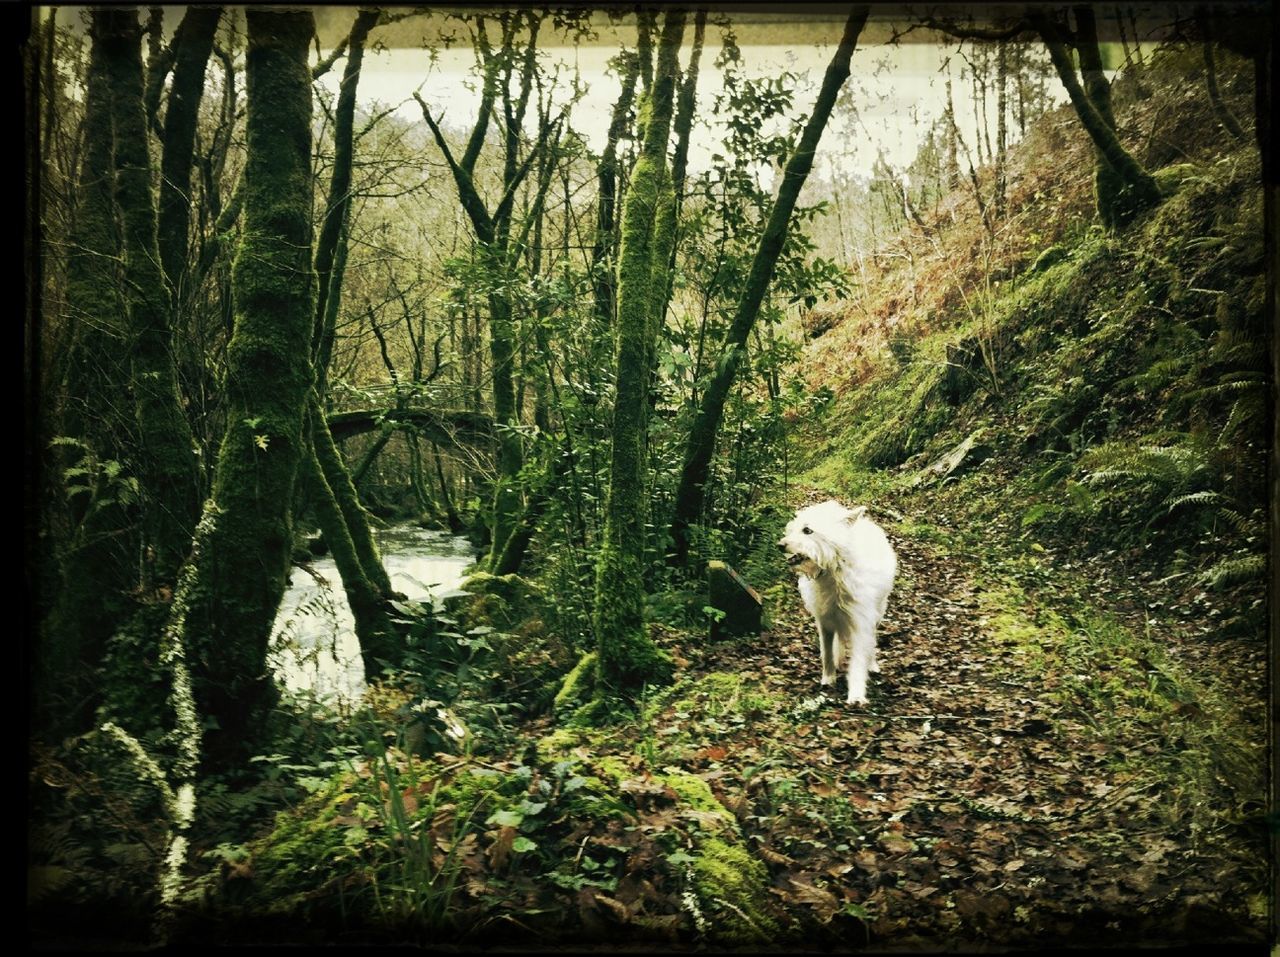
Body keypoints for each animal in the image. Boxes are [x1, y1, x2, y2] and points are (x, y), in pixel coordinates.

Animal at [773, 501, 896, 701]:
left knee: (872, 639)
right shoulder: (825, 621)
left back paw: (872, 664)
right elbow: (827, 653)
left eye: (807, 530)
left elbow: (858, 660)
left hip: (876, 614)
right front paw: (828, 679)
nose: (780, 545)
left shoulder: (860, 623)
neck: (834, 570)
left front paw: (856, 696)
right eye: (793, 529)